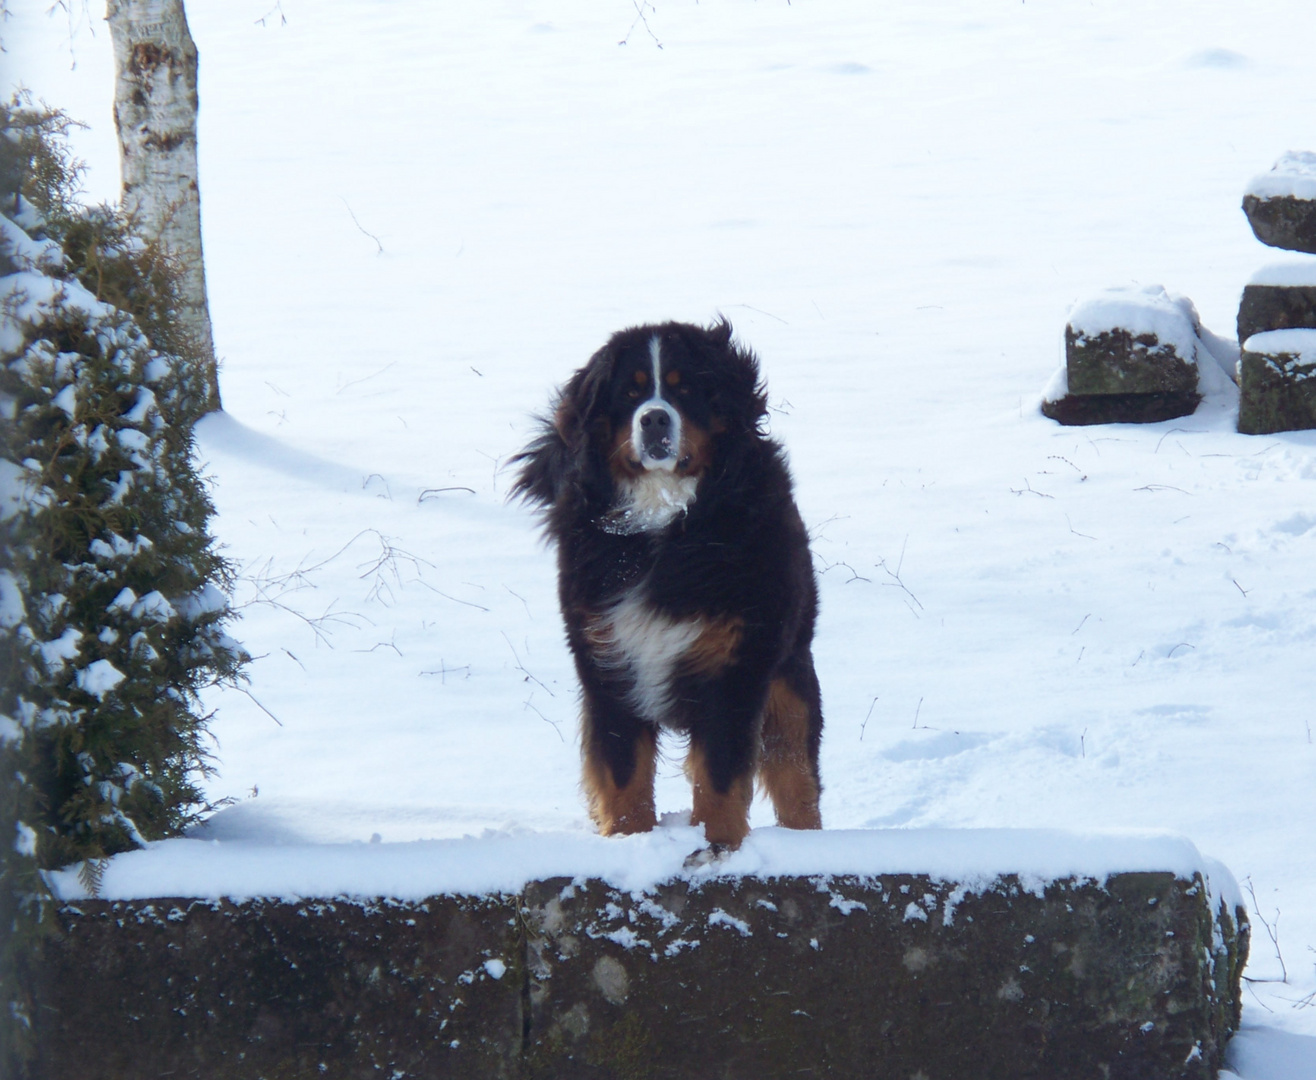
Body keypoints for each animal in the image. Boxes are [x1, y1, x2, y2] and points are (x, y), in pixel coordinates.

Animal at [513, 315, 821, 847]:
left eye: (685, 389)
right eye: (631, 392)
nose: (654, 419)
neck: (662, 520)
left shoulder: (733, 673)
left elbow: (720, 781)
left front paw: (717, 846)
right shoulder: (611, 668)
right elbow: (624, 780)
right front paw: (629, 841)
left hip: (790, 681)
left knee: (796, 778)